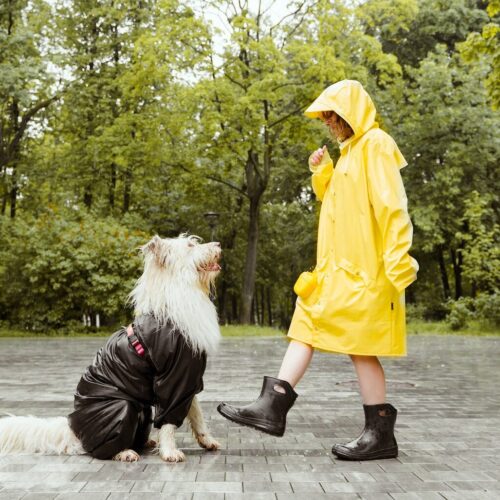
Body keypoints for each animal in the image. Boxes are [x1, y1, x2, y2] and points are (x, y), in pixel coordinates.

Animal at [0, 233, 223, 460]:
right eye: (190, 245)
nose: (218, 244)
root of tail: (74, 431)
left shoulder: (187, 379)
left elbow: (196, 413)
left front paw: (207, 441)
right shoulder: (172, 380)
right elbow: (169, 421)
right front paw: (169, 451)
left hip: (142, 409)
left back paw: (146, 442)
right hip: (120, 407)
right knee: (103, 448)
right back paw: (125, 452)